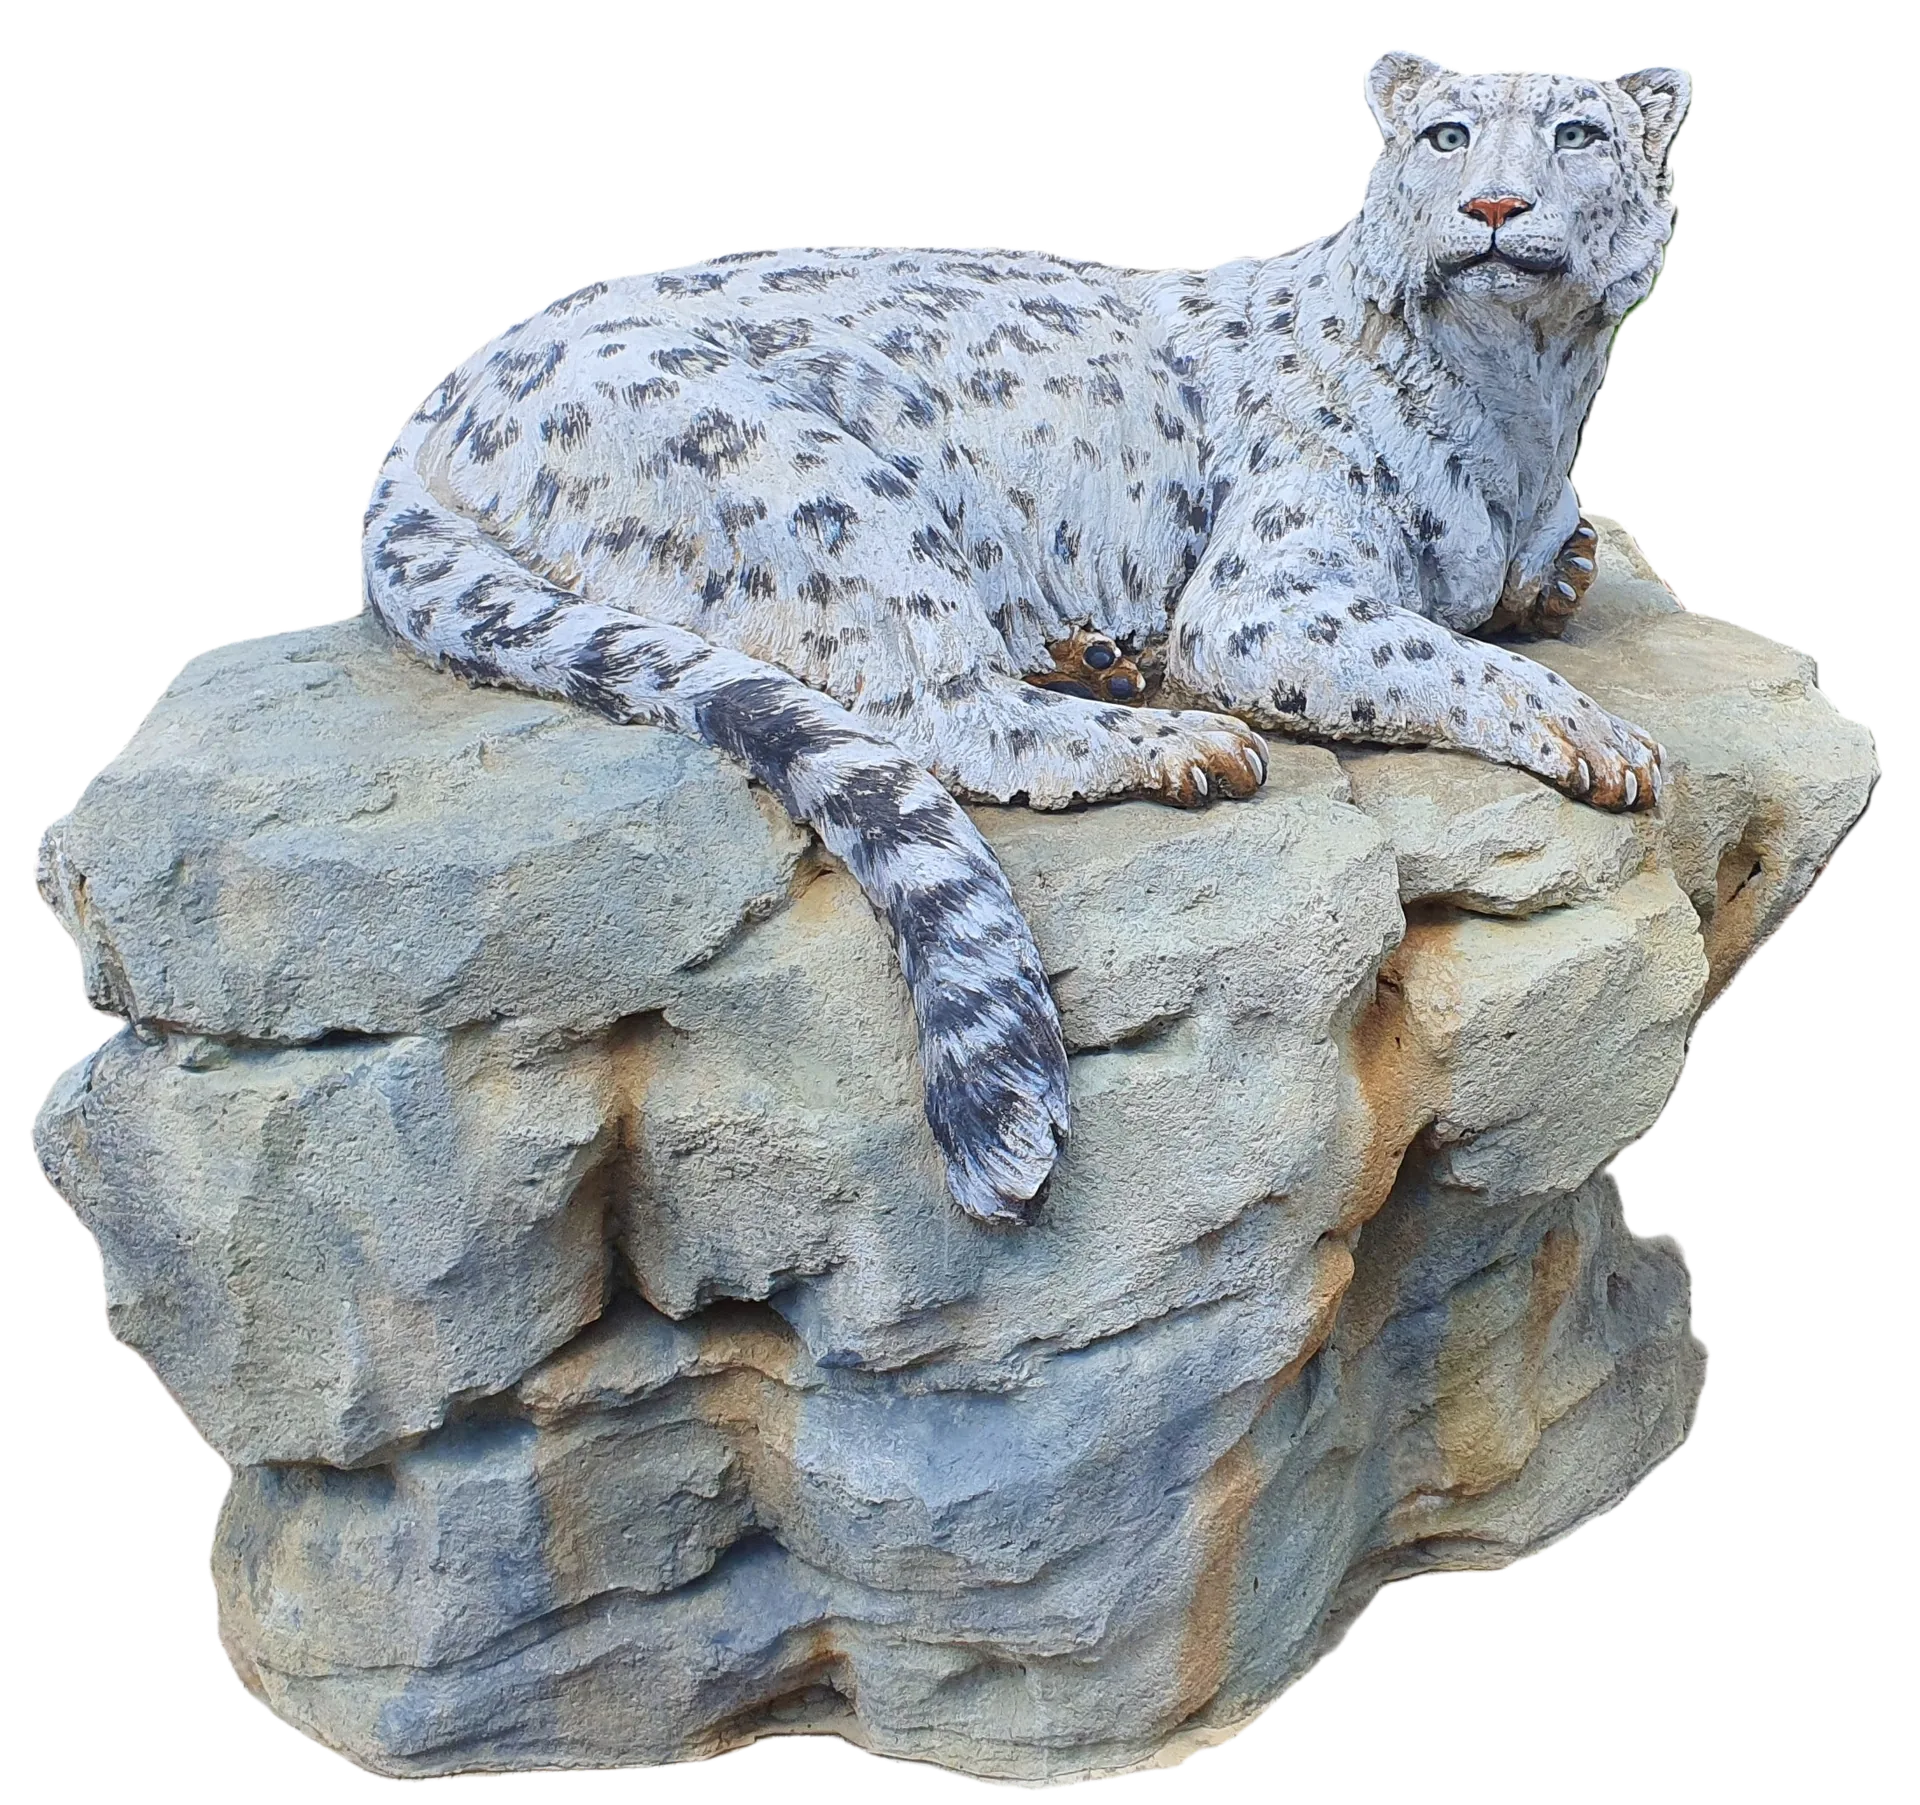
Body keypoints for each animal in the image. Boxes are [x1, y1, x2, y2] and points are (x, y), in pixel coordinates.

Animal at [360, 53, 1693, 1226]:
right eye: (1447, 133)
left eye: (1575, 132)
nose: (1494, 206)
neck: (1525, 413)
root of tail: (438, 404)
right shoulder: (1267, 592)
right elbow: (1441, 652)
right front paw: (1604, 737)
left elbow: (1528, 591)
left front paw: (1565, 575)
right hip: (813, 487)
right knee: (929, 705)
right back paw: (1176, 740)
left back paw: (1096, 657)